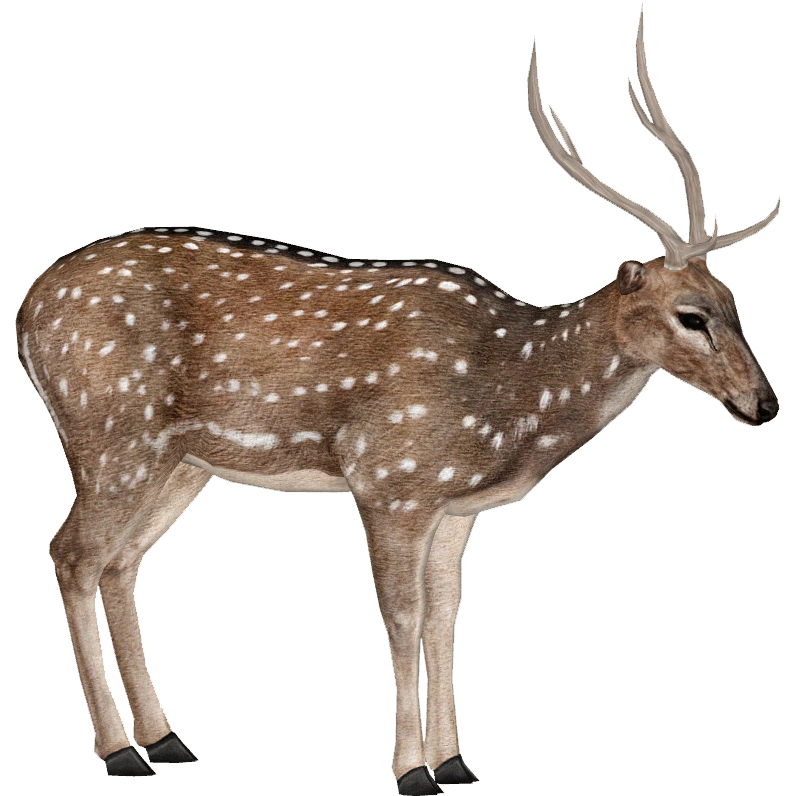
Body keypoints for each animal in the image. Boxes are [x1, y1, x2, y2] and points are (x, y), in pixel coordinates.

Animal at [15, 2, 780, 794]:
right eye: (692, 315)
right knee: (71, 553)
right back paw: (119, 751)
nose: (766, 403)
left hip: (181, 464)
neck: (507, 396)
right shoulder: (390, 481)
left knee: (121, 562)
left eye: (736, 303)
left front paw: (457, 760)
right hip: (111, 433)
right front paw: (411, 769)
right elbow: (404, 618)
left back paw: (168, 740)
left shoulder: (454, 507)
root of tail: (28, 307)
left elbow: (446, 618)